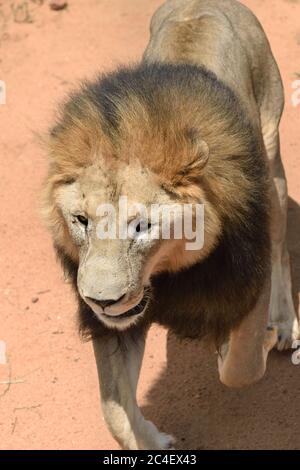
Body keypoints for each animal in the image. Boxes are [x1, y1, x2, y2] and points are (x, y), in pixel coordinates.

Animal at [41, 0, 298, 450]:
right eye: (81, 220)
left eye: (142, 226)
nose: (102, 300)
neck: (166, 272)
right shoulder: (116, 323)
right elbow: (113, 409)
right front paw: (152, 440)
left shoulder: (250, 276)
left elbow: (242, 366)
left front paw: (236, 343)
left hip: (272, 158)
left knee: (282, 244)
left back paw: (283, 324)